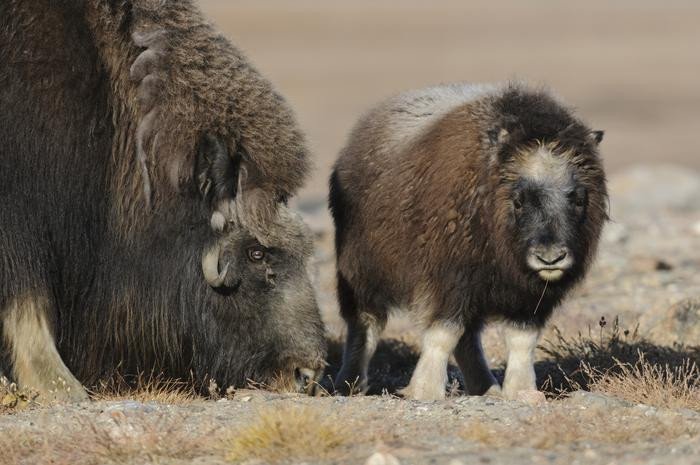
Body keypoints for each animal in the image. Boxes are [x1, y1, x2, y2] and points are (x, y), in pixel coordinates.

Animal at [330, 82, 608, 398]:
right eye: (519, 201)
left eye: (578, 199)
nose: (550, 257)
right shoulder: (450, 280)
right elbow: (443, 334)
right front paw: (425, 391)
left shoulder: (528, 297)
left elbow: (522, 340)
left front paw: (522, 392)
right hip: (361, 270)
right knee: (365, 321)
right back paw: (350, 384)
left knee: (469, 337)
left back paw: (486, 387)